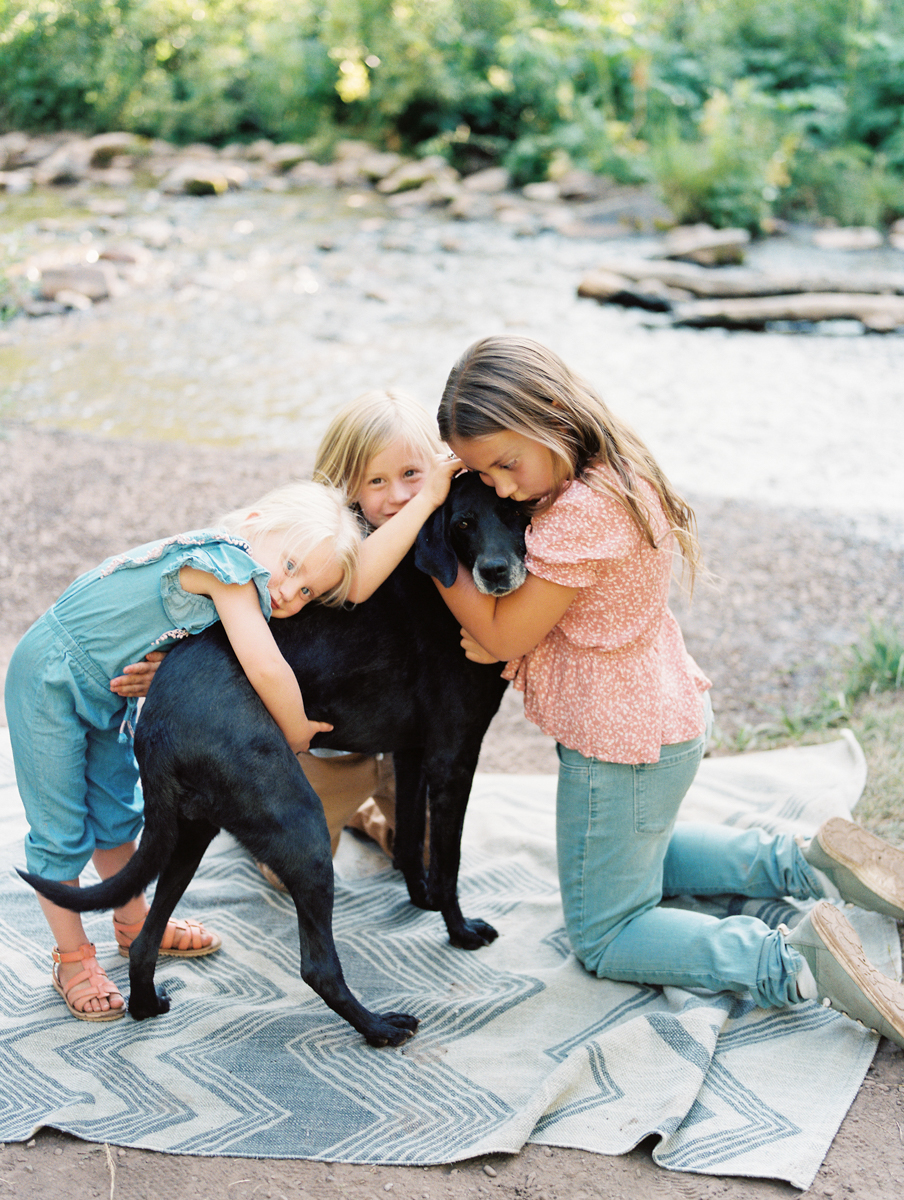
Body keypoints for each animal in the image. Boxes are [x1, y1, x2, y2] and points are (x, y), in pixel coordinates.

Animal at [19, 472, 528, 1046]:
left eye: (516, 512)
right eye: (463, 523)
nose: (495, 572)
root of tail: (156, 724)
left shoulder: (413, 753)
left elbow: (410, 840)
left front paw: (420, 901)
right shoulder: (453, 757)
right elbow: (448, 861)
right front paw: (459, 931)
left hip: (192, 831)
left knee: (147, 938)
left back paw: (147, 1006)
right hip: (300, 826)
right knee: (317, 967)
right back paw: (379, 1027)